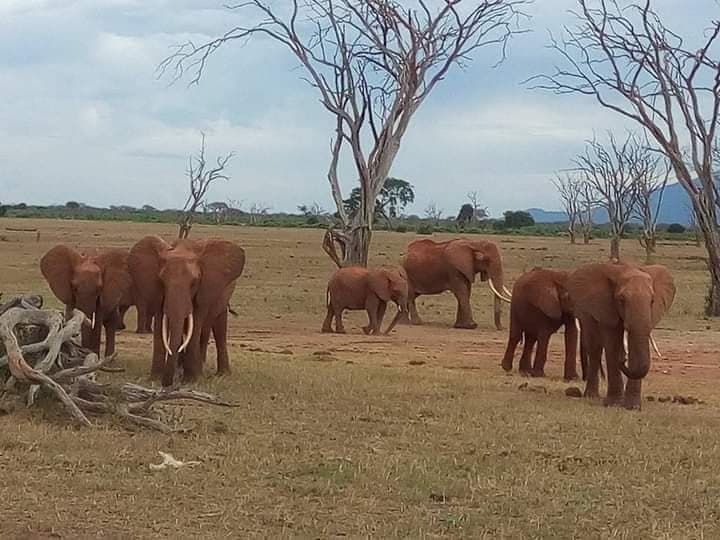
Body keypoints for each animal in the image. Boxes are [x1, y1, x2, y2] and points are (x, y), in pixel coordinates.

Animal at [128, 236, 245, 388]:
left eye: (194, 282)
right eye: (162, 281)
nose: (167, 384)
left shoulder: (204, 290)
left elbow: (195, 324)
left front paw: (192, 380)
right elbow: (161, 325)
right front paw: (155, 379)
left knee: (218, 329)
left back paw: (220, 374)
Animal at [567, 262, 675, 409]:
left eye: (652, 301)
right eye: (621, 300)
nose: (624, 359)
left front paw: (633, 407)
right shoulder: (606, 307)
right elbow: (612, 342)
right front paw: (613, 404)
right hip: (585, 313)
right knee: (594, 348)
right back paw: (591, 396)